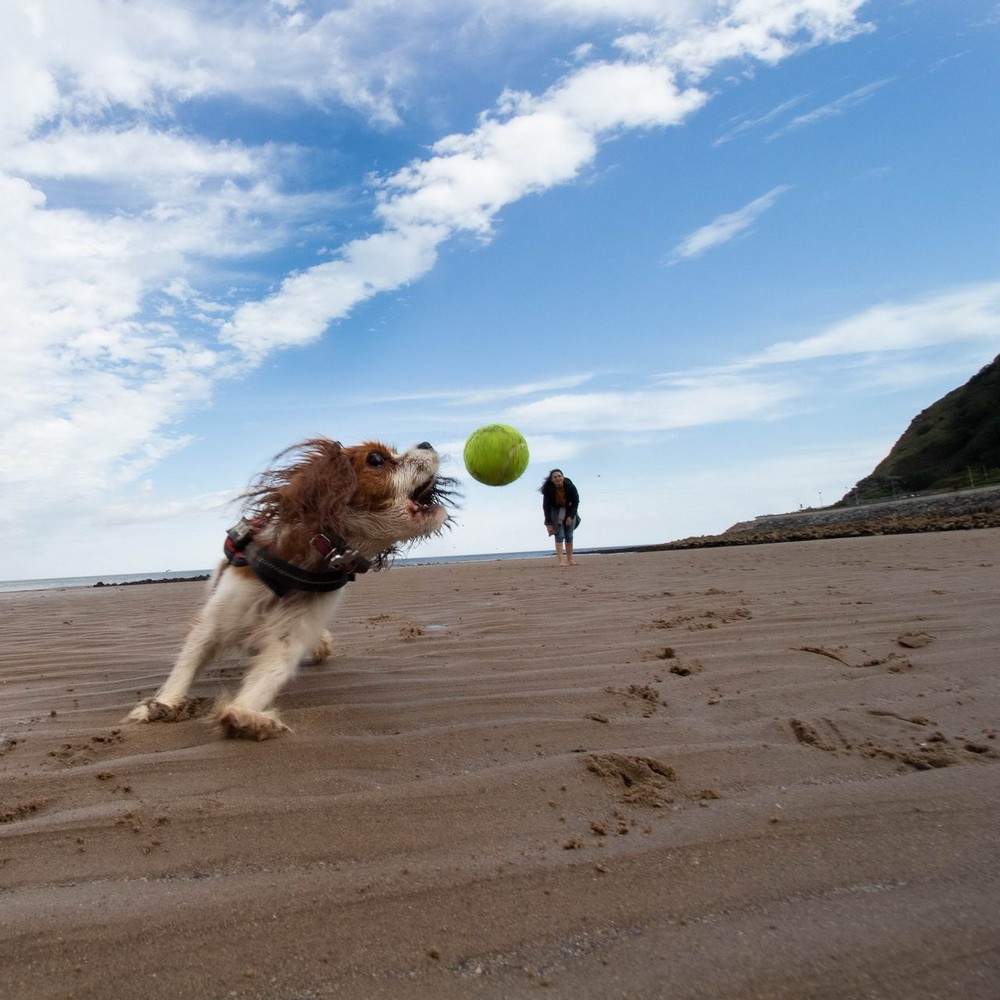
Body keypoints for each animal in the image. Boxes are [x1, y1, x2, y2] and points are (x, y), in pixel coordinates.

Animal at [128, 442, 454, 740]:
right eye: (376, 459)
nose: (427, 443)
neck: (304, 564)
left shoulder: (290, 637)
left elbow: (267, 677)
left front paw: (245, 716)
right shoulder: (212, 624)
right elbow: (185, 667)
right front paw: (161, 706)